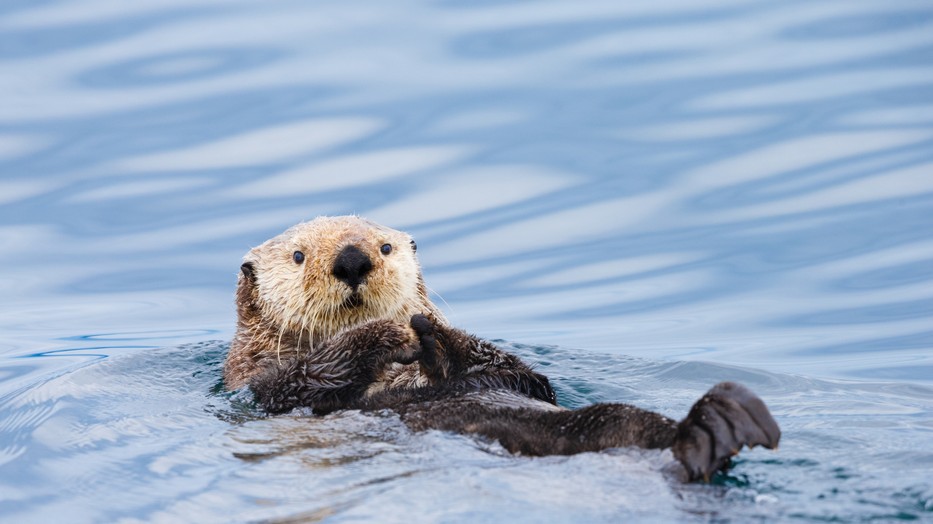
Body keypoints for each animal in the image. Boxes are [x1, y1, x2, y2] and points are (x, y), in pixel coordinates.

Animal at [226, 215, 780, 482]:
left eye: (384, 247)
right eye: (299, 256)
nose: (352, 259)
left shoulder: (520, 378)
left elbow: (522, 375)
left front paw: (431, 333)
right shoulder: (262, 387)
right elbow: (308, 378)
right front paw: (389, 334)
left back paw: (724, 421)